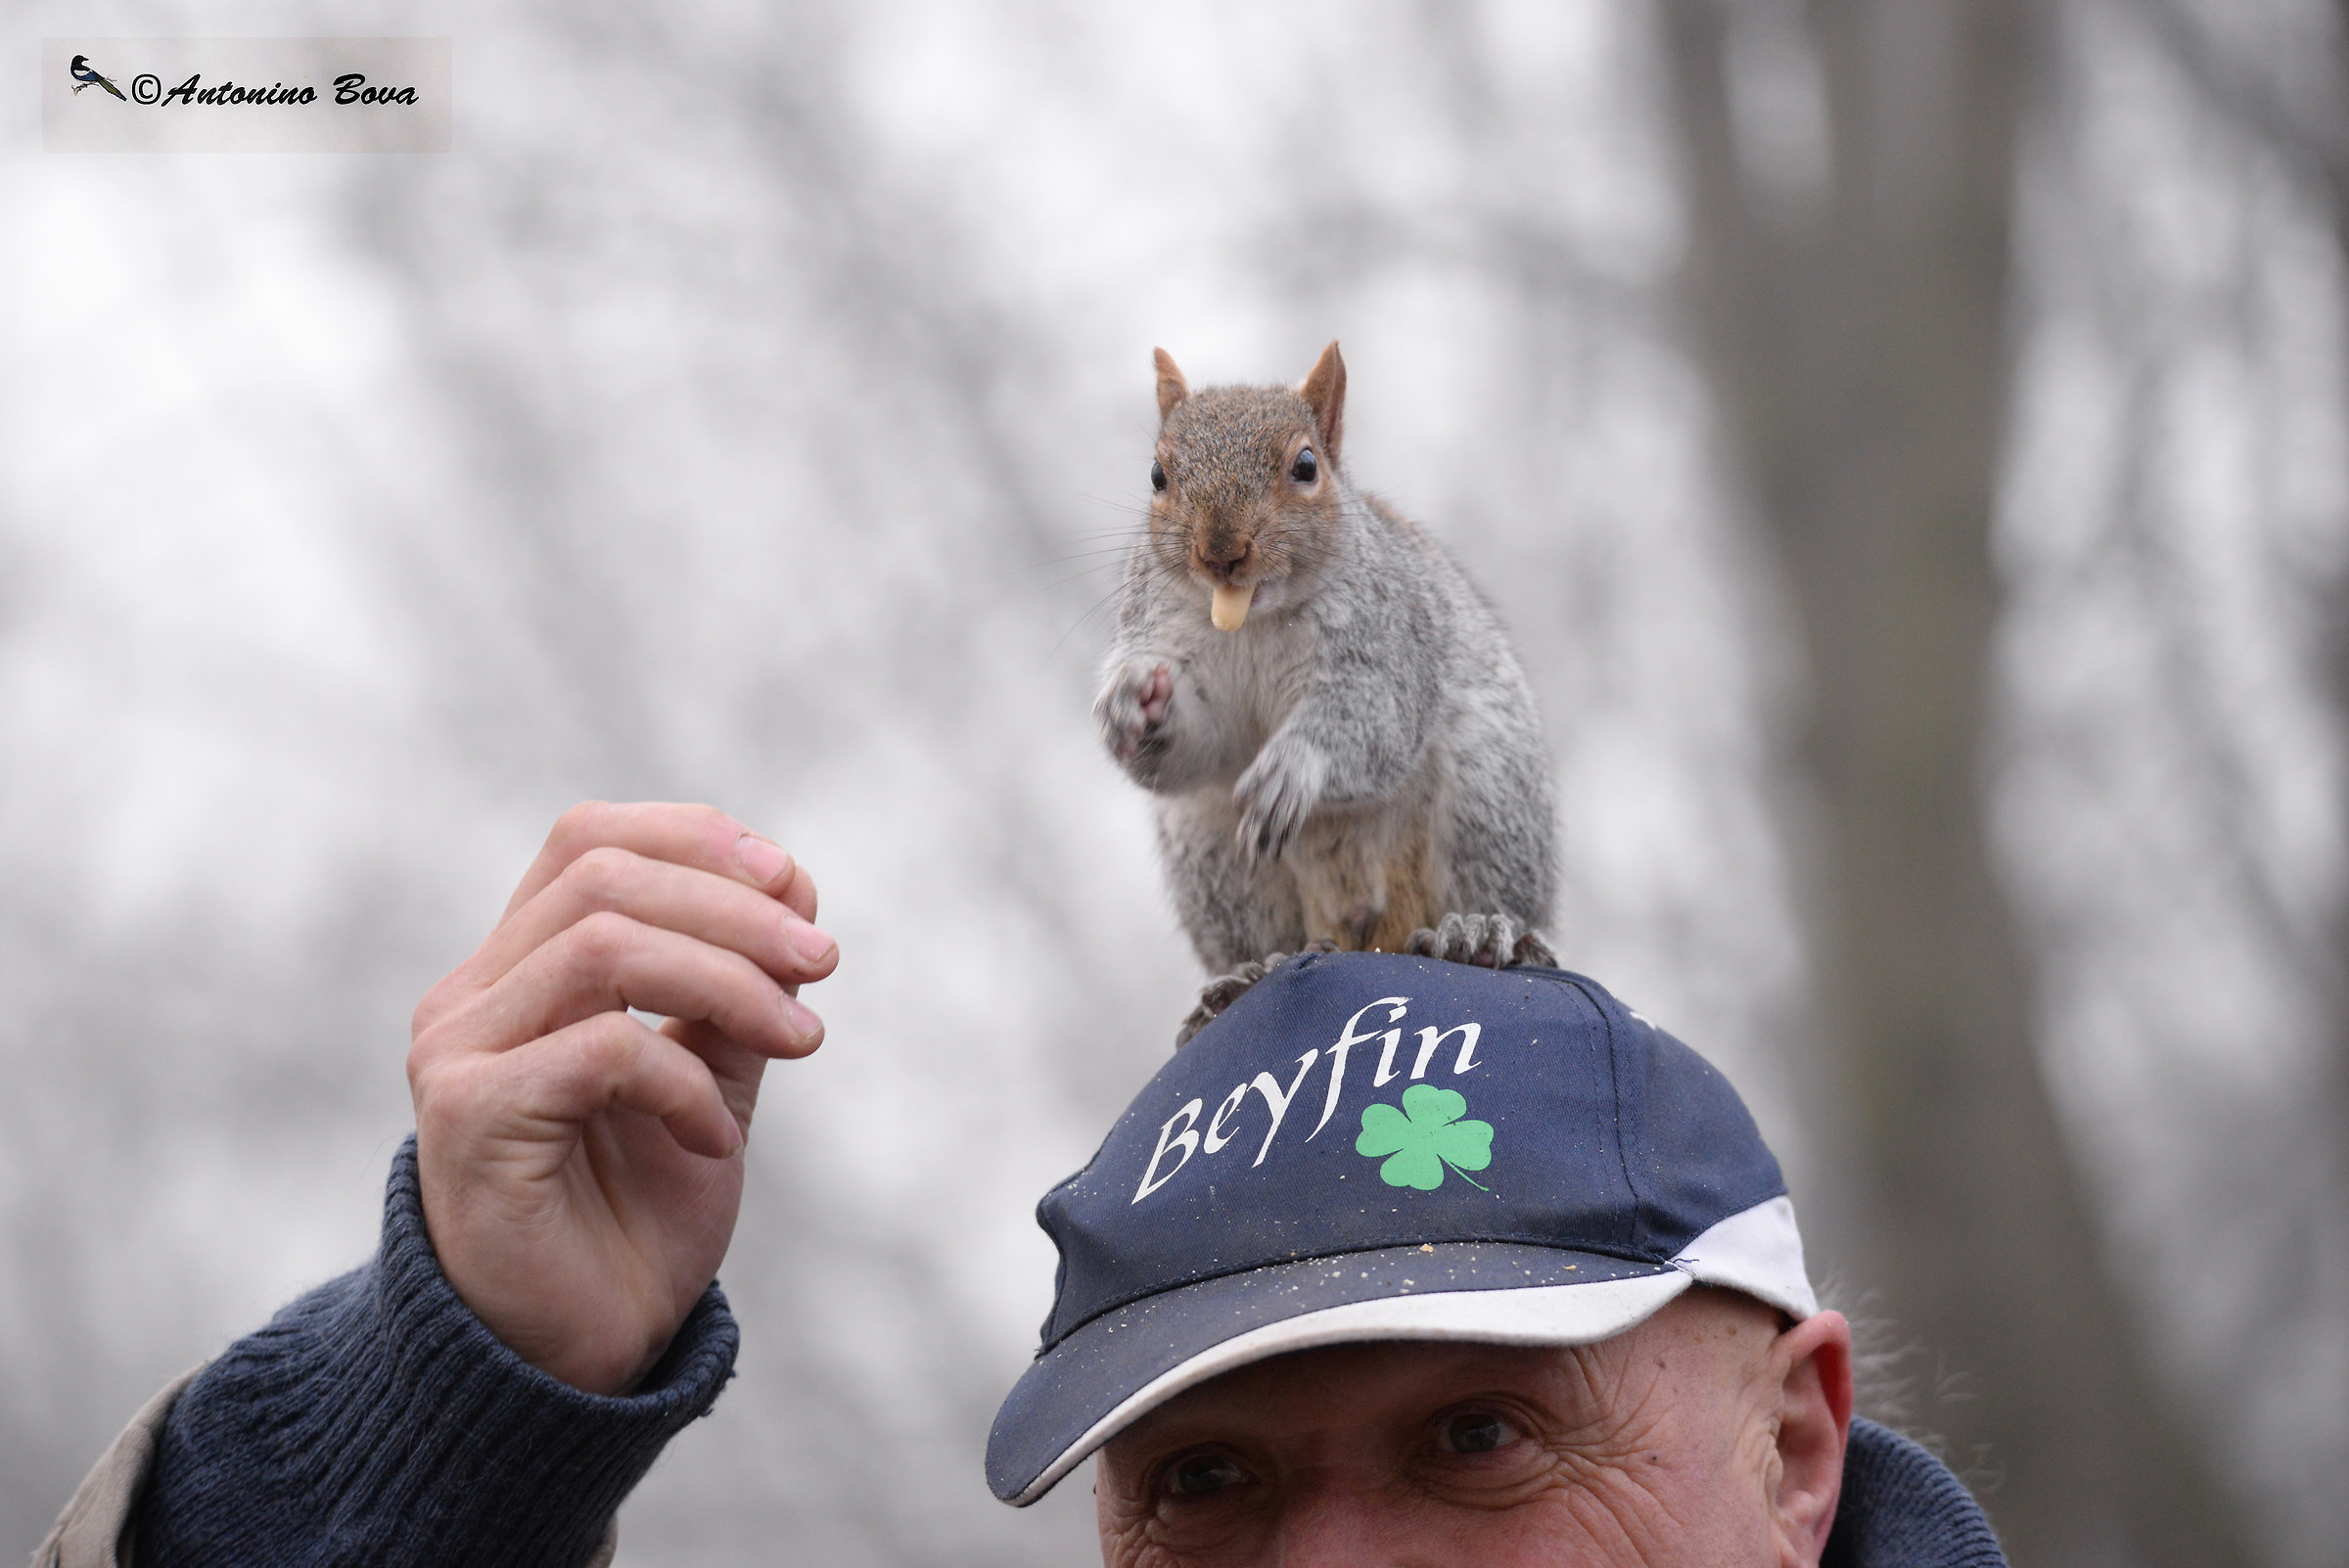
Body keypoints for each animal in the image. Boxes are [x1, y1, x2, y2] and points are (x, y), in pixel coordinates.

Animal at [1094, 341, 1558, 974]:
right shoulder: (1165, 633)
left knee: (1497, 896)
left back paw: (1478, 931)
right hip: (1209, 849)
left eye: (1307, 466)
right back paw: (1251, 971)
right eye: (1158, 475)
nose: (1221, 553)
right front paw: (1136, 698)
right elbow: (1200, 743)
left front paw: (1293, 766)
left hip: (1489, 795)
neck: (1256, 620)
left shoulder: (1389, 648)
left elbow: (1376, 722)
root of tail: (1367, 932)